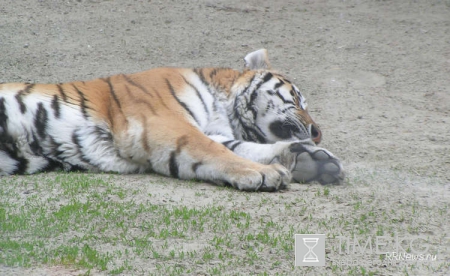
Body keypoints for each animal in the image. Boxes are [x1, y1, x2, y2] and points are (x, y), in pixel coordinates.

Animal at [0, 49, 344, 192]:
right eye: (297, 98)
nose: (317, 133)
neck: (224, 108)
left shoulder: (211, 132)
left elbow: (238, 148)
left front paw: (313, 162)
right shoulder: (165, 122)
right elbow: (216, 151)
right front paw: (265, 174)